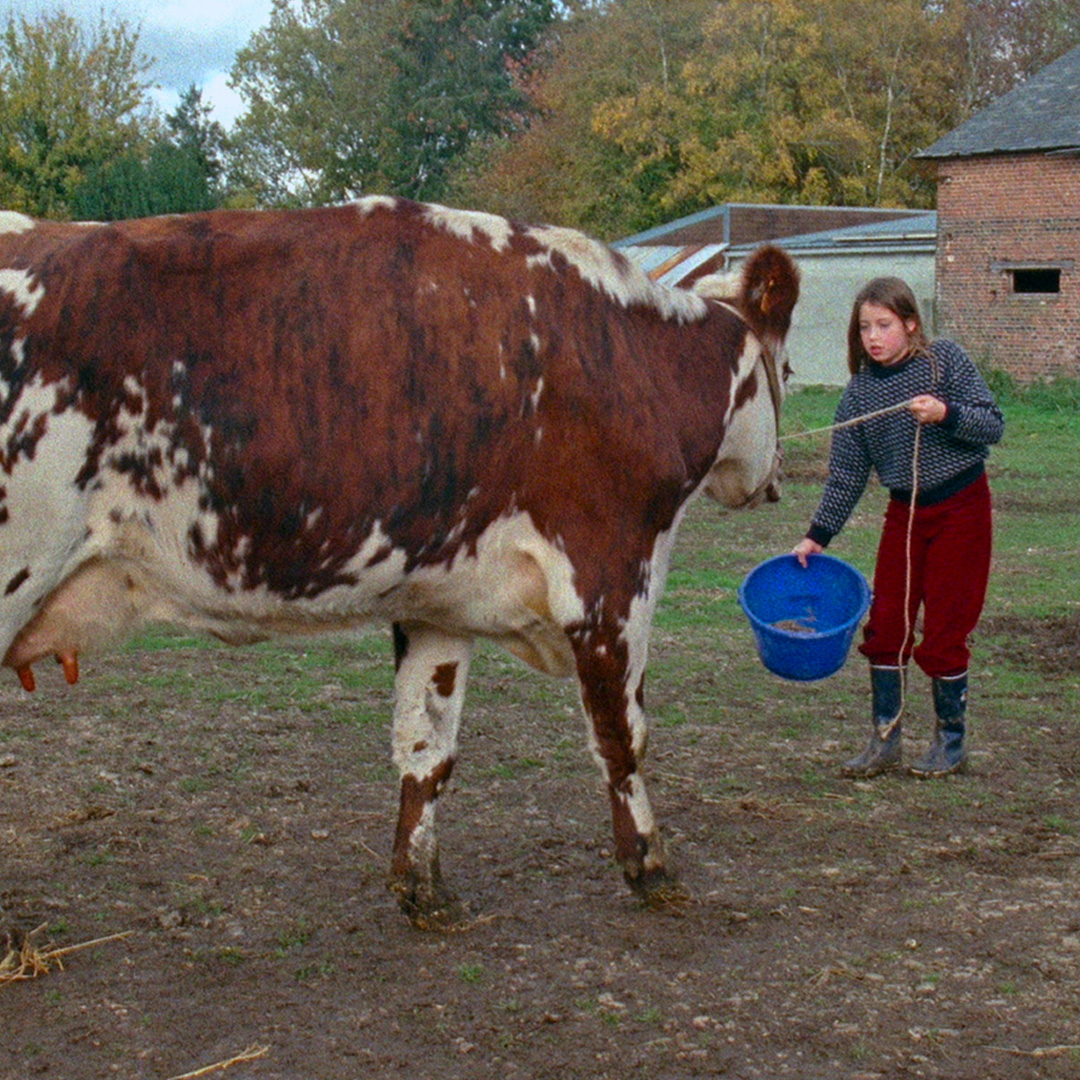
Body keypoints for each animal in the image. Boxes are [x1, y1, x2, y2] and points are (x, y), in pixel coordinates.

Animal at [0, 200, 799, 928]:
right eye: (788, 367)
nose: (775, 481)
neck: (628, 361)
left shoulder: (440, 604)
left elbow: (426, 745)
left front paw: (422, 887)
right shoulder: (609, 579)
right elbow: (621, 734)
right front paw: (651, 867)